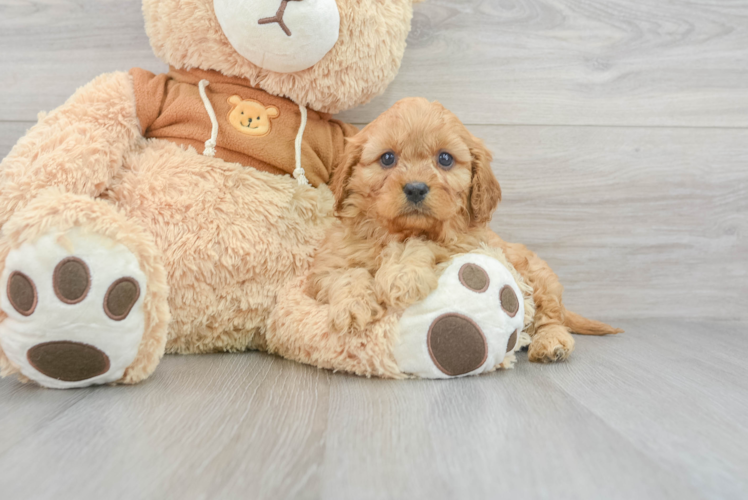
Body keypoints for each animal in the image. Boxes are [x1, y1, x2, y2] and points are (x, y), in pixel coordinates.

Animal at [306, 97, 620, 364]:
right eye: (387, 158)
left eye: (445, 159)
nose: (416, 188)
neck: (398, 231)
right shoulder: (323, 270)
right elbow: (346, 274)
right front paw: (352, 307)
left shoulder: (464, 243)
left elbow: (422, 244)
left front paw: (402, 276)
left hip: (540, 278)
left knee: (551, 318)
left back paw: (551, 342)